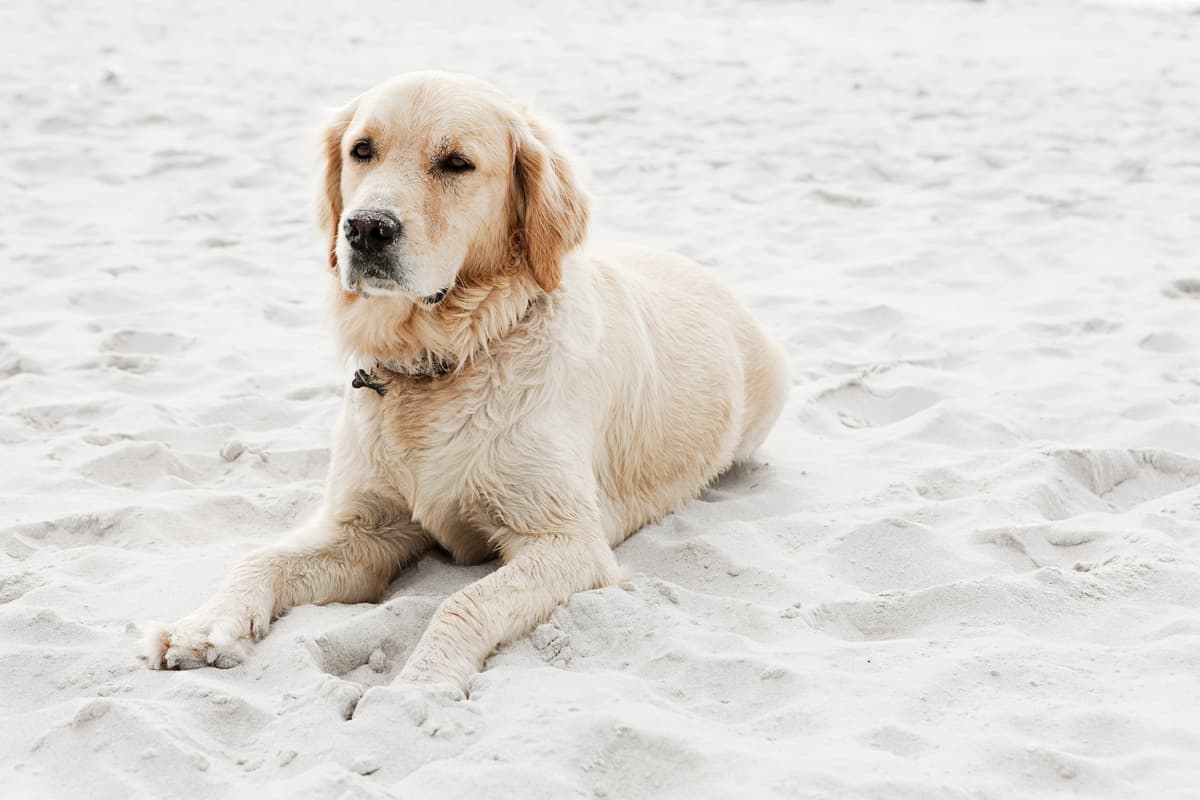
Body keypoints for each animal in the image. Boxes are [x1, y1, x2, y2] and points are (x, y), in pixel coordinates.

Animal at [140, 71, 792, 690]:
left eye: (456, 163)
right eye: (361, 150)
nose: (365, 229)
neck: (444, 358)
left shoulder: (568, 542)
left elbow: (462, 602)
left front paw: (419, 686)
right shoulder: (364, 526)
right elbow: (262, 558)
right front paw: (204, 626)